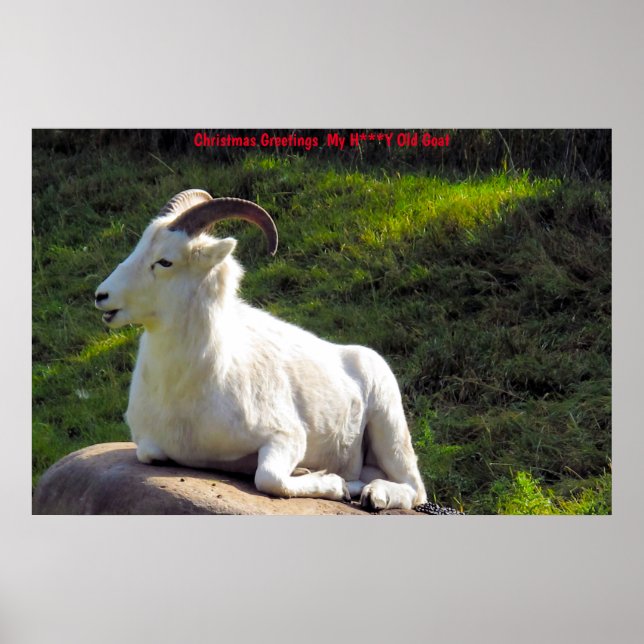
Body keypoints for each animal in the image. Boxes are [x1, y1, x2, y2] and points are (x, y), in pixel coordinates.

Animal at [95, 189, 427, 510]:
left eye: (165, 261)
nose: (102, 296)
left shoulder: (287, 437)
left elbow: (269, 479)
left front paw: (333, 484)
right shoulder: (149, 445)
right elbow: (150, 454)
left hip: (389, 428)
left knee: (414, 488)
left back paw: (372, 496)